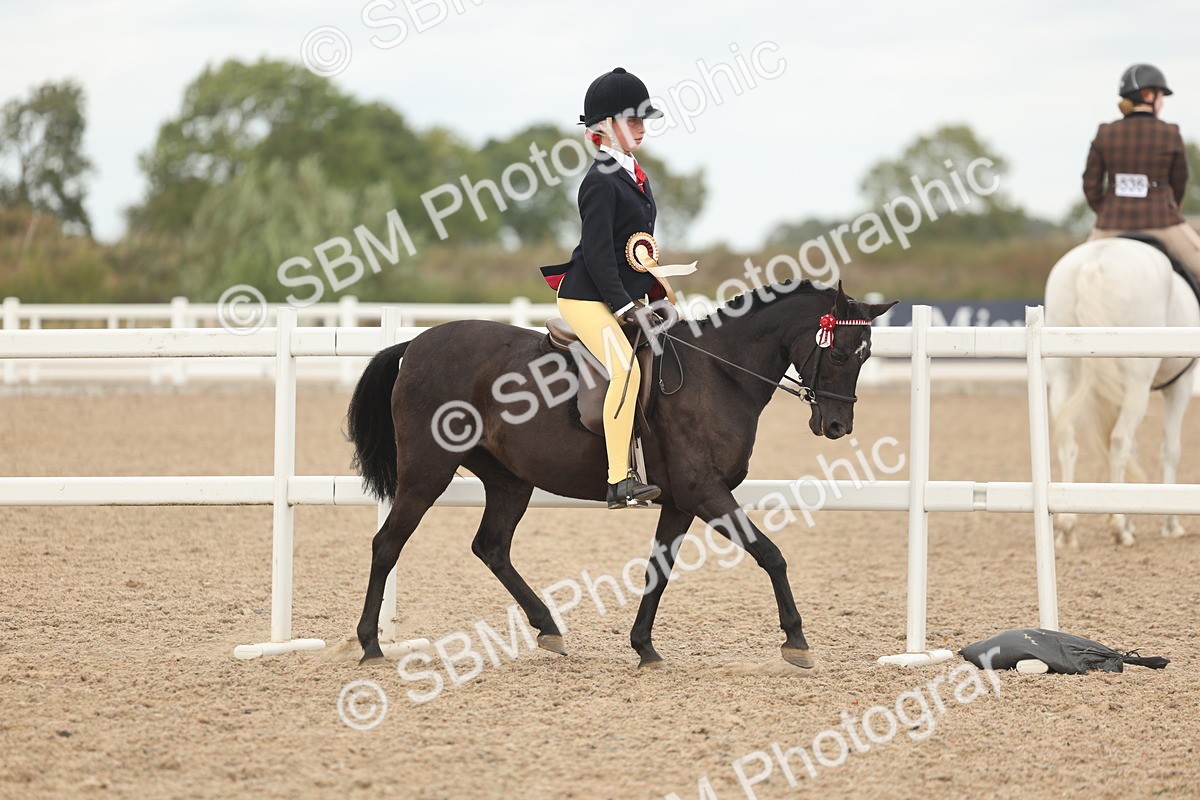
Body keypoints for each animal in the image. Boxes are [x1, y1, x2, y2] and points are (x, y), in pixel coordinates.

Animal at [346, 281, 895, 670]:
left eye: (867, 355)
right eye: (839, 353)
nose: (837, 426)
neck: (720, 374)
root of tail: (416, 343)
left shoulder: (680, 502)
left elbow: (659, 570)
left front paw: (644, 647)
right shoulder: (705, 492)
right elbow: (771, 554)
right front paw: (797, 640)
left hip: (509, 480)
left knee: (492, 547)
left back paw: (548, 628)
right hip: (427, 472)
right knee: (387, 544)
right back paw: (371, 644)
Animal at [1044, 236, 1199, 547]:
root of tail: (1094, 262)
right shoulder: (1181, 385)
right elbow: (1170, 449)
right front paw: (1170, 524)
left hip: (1063, 375)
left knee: (1068, 439)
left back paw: (1068, 529)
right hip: (1138, 384)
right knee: (1119, 440)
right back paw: (1117, 525)